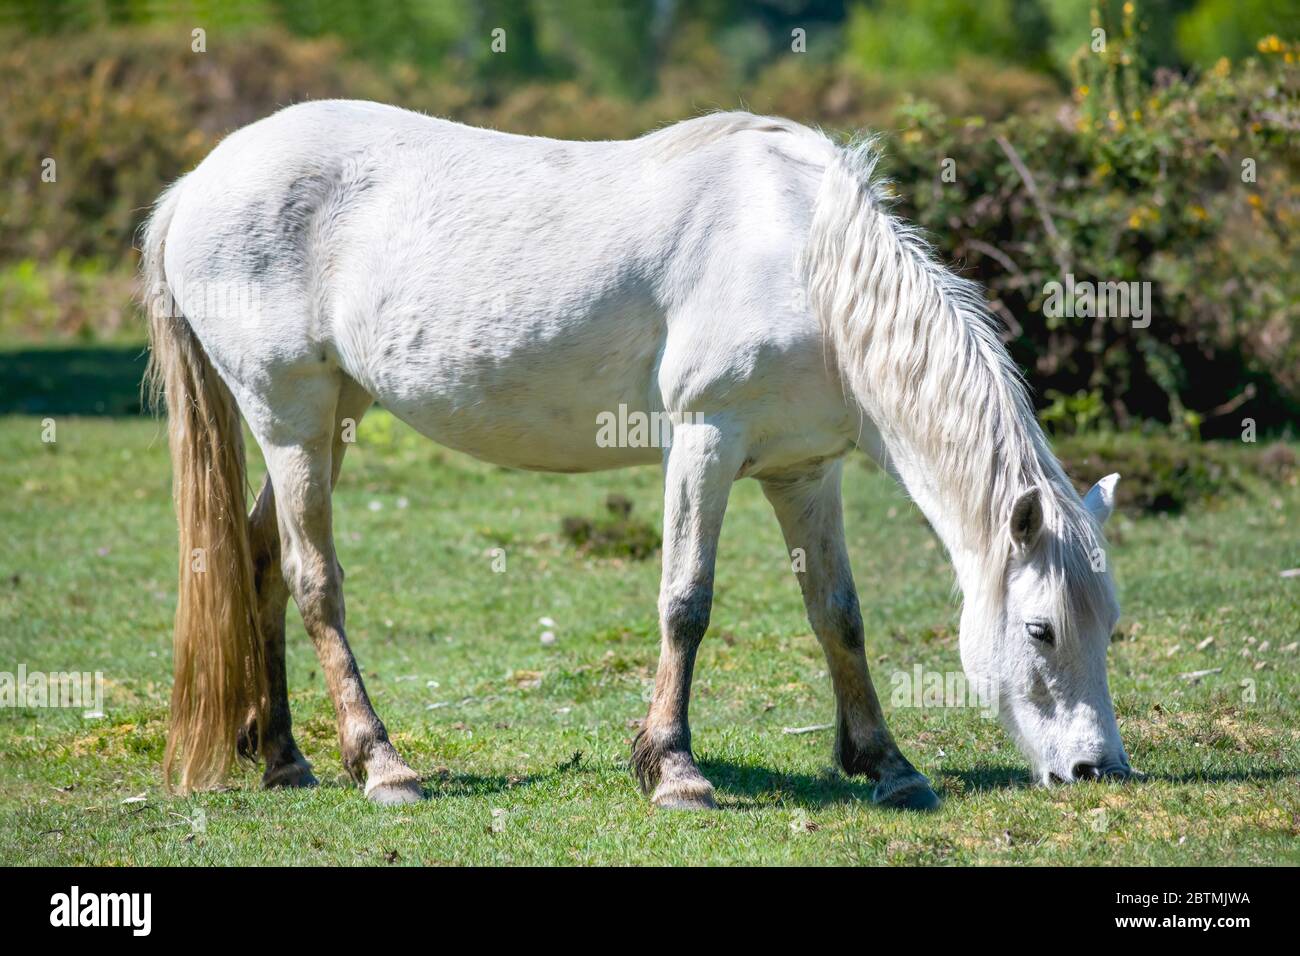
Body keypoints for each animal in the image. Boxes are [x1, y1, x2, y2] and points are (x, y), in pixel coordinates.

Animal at [142, 102, 1133, 806]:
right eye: (1041, 630)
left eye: (1109, 626)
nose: (1098, 770)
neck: (808, 260)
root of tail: (196, 183)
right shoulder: (705, 441)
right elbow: (685, 603)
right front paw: (676, 771)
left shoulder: (803, 472)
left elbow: (838, 616)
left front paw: (886, 765)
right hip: (289, 416)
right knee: (313, 580)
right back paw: (381, 764)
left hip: (330, 420)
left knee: (260, 563)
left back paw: (283, 758)